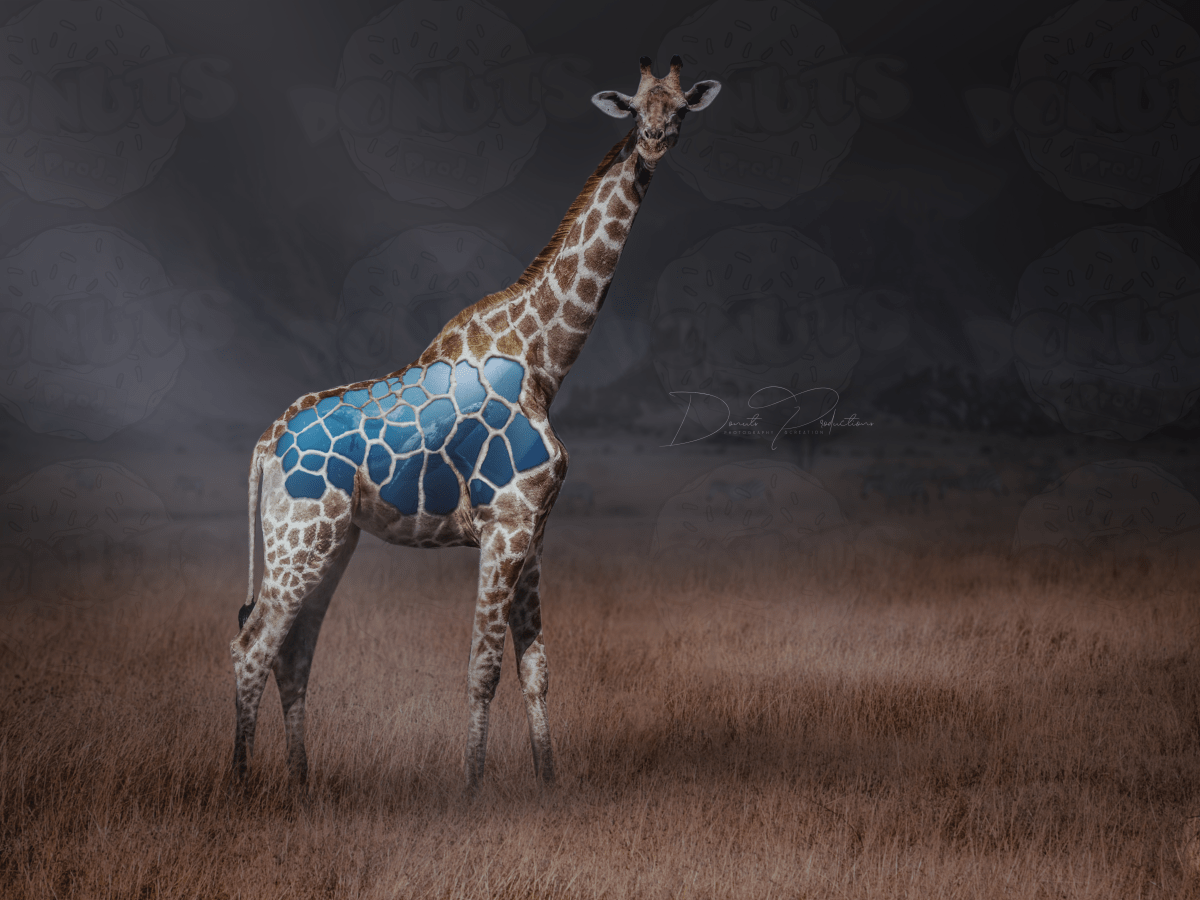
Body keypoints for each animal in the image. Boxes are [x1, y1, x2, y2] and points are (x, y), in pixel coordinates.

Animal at [230, 56, 721, 790]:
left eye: (682, 108)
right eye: (636, 108)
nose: (657, 138)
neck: (544, 356)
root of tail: (266, 442)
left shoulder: (533, 532)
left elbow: (536, 669)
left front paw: (550, 785)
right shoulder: (504, 526)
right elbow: (482, 668)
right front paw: (471, 789)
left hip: (330, 541)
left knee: (292, 654)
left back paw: (302, 786)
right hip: (298, 538)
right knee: (252, 646)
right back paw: (236, 786)